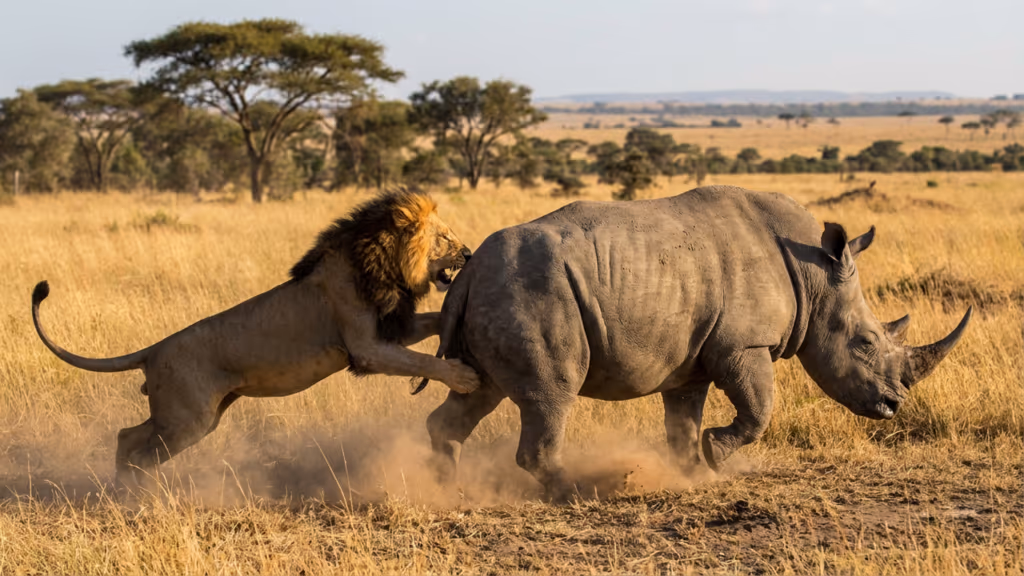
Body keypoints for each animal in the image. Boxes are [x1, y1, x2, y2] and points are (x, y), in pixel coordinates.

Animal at [31, 188, 479, 488]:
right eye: (445, 238)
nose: (470, 253)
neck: (381, 265)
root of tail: (154, 350)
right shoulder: (366, 349)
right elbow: (423, 361)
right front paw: (463, 377)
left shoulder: (393, 329)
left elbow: (432, 322)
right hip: (187, 420)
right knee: (140, 451)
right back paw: (140, 496)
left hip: (194, 416)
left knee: (127, 437)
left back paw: (125, 492)